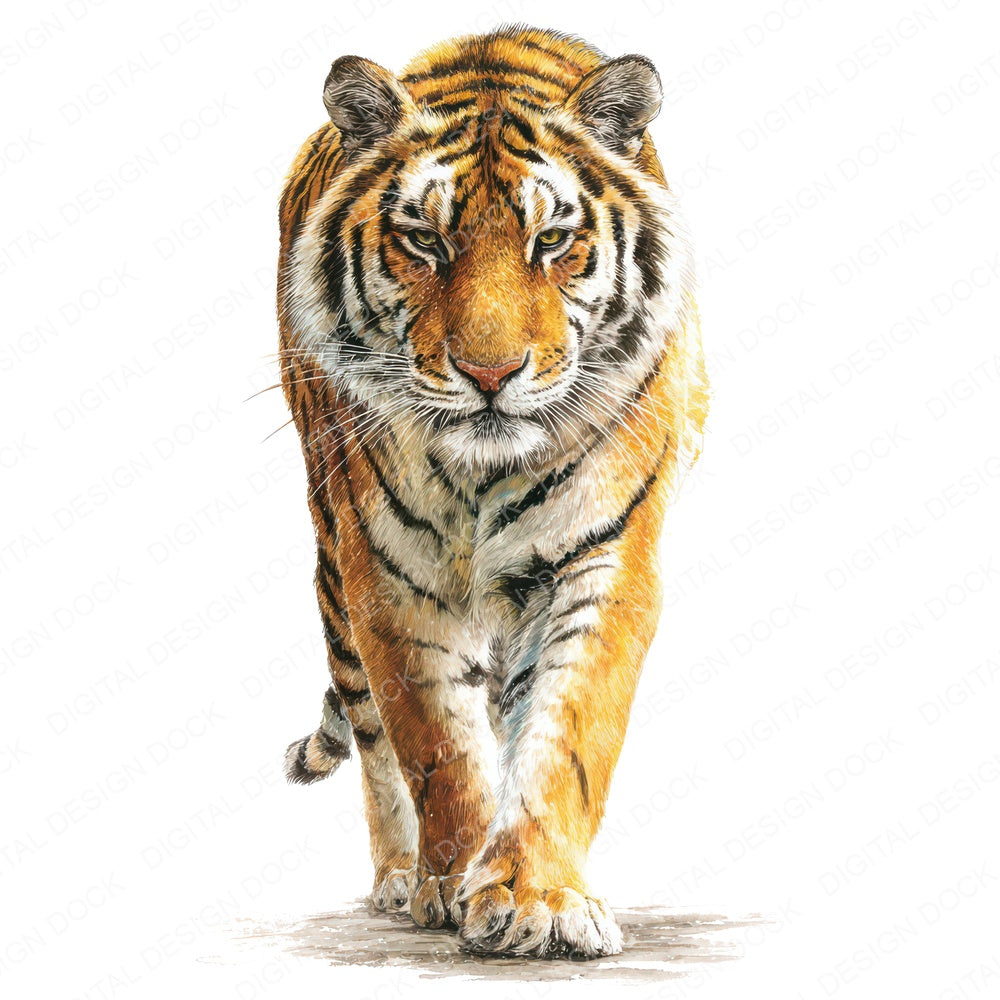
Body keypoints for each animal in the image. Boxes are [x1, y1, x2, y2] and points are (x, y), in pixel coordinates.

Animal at [276, 25, 708, 959]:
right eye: (424, 241)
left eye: (552, 242)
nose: (489, 374)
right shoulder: (388, 578)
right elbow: (434, 743)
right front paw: (452, 882)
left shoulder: (605, 558)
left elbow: (567, 732)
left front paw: (537, 896)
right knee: (372, 737)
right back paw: (400, 878)